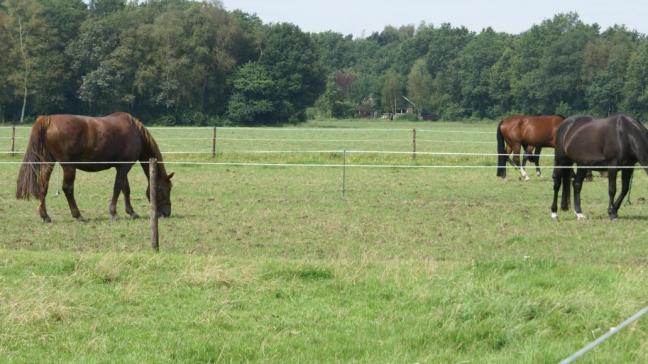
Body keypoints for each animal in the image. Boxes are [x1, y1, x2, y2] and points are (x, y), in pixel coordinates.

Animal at [17, 112, 175, 222]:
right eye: (165, 189)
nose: (167, 213)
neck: (135, 132)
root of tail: (48, 120)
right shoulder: (124, 167)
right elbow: (118, 188)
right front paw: (114, 213)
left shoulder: (121, 167)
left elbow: (125, 189)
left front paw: (131, 212)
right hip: (69, 167)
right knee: (67, 188)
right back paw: (78, 215)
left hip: (48, 163)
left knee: (43, 186)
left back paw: (45, 216)